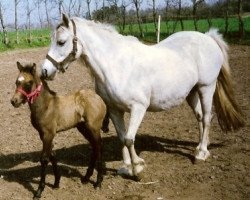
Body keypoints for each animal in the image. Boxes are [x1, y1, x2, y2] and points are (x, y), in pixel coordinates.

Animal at [41, 14, 244, 179]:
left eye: (61, 42)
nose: (44, 71)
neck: (117, 64)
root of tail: (208, 37)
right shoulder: (114, 110)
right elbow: (122, 137)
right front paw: (126, 167)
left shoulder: (138, 108)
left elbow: (130, 138)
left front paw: (137, 168)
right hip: (191, 92)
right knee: (200, 117)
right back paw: (199, 148)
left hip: (206, 88)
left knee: (208, 118)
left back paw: (202, 153)